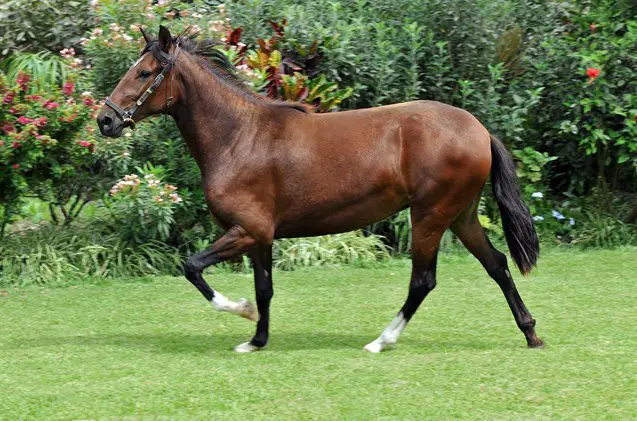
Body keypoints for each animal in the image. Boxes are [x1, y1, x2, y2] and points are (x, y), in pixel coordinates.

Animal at [98, 26, 540, 352]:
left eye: (143, 72)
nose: (106, 119)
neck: (239, 137)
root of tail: (479, 130)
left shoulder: (247, 230)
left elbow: (192, 267)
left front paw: (242, 311)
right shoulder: (260, 236)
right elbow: (264, 288)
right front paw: (256, 339)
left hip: (430, 216)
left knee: (423, 281)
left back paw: (381, 341)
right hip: (461, 215)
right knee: (497, 264)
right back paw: (531, 332)